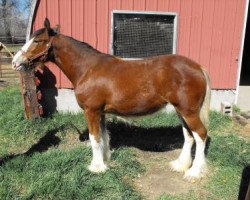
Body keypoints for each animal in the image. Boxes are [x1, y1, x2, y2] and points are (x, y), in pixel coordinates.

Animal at [12, 18, 211, 181]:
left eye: (37, 41)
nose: (15, 62)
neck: (87, 68)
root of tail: (198, 67)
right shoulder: (100, 112)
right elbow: (103, 136)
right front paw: (106, 160)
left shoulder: (91, 111)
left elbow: (94, 138)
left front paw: (96, 167)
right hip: (181, 110)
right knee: (189, 135)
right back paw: (180, 165)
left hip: (188, 111)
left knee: (201, 135)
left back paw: (194, 172)